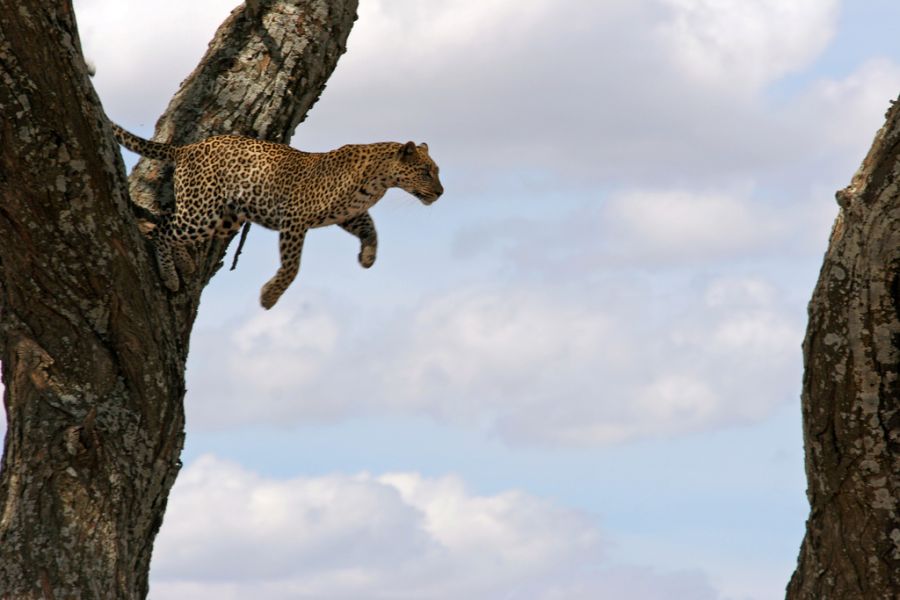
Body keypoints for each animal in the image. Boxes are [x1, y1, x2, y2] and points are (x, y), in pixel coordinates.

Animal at [112, 123, 442, 310]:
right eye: (426, 172)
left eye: (435, 171)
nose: (441, 192)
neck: (380, 180)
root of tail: (185, 148)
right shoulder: (295, 218)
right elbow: (292, 266)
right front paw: (269, 296)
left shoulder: (348, 214)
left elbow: (371, 230)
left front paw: (368, 257)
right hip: (203, 209)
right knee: (161, 228)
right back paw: (169, 275)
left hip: (223, 217)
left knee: (171, 224)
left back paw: (185, 262)